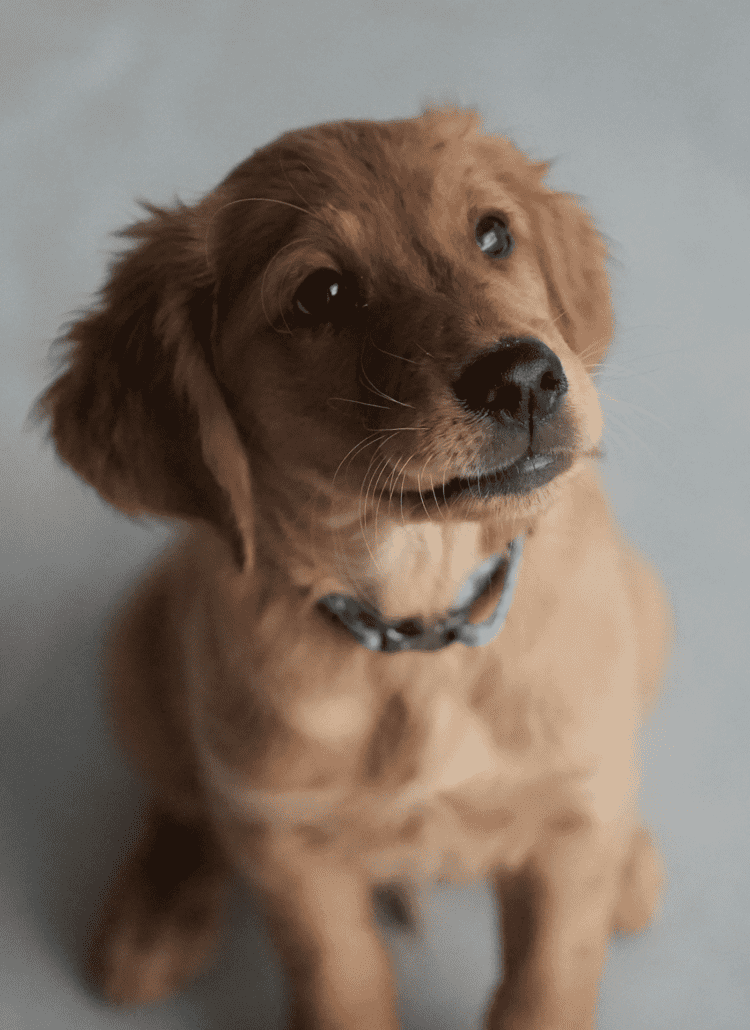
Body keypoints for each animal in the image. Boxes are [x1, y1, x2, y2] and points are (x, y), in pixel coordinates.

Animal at [38, 108, 671, 1025]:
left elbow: (550, 978)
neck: (419, 628)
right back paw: (155, 914)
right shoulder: (289, 847)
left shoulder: (567, 819)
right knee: (185, 797)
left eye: (493, 235)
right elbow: (339, 976)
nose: (523, 376)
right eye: (321, 294)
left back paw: (630, 863)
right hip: (136, 649)